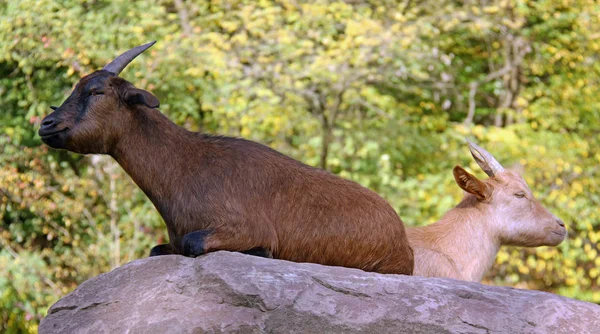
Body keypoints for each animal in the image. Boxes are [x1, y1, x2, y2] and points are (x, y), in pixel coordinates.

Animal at [37, 42, 412, 274]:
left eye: (96, 91)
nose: (46, 124)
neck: (186, 166)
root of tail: (403, 240)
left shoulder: (244, 226)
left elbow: (195, 242)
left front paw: (261, 252)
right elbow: (159, 248)